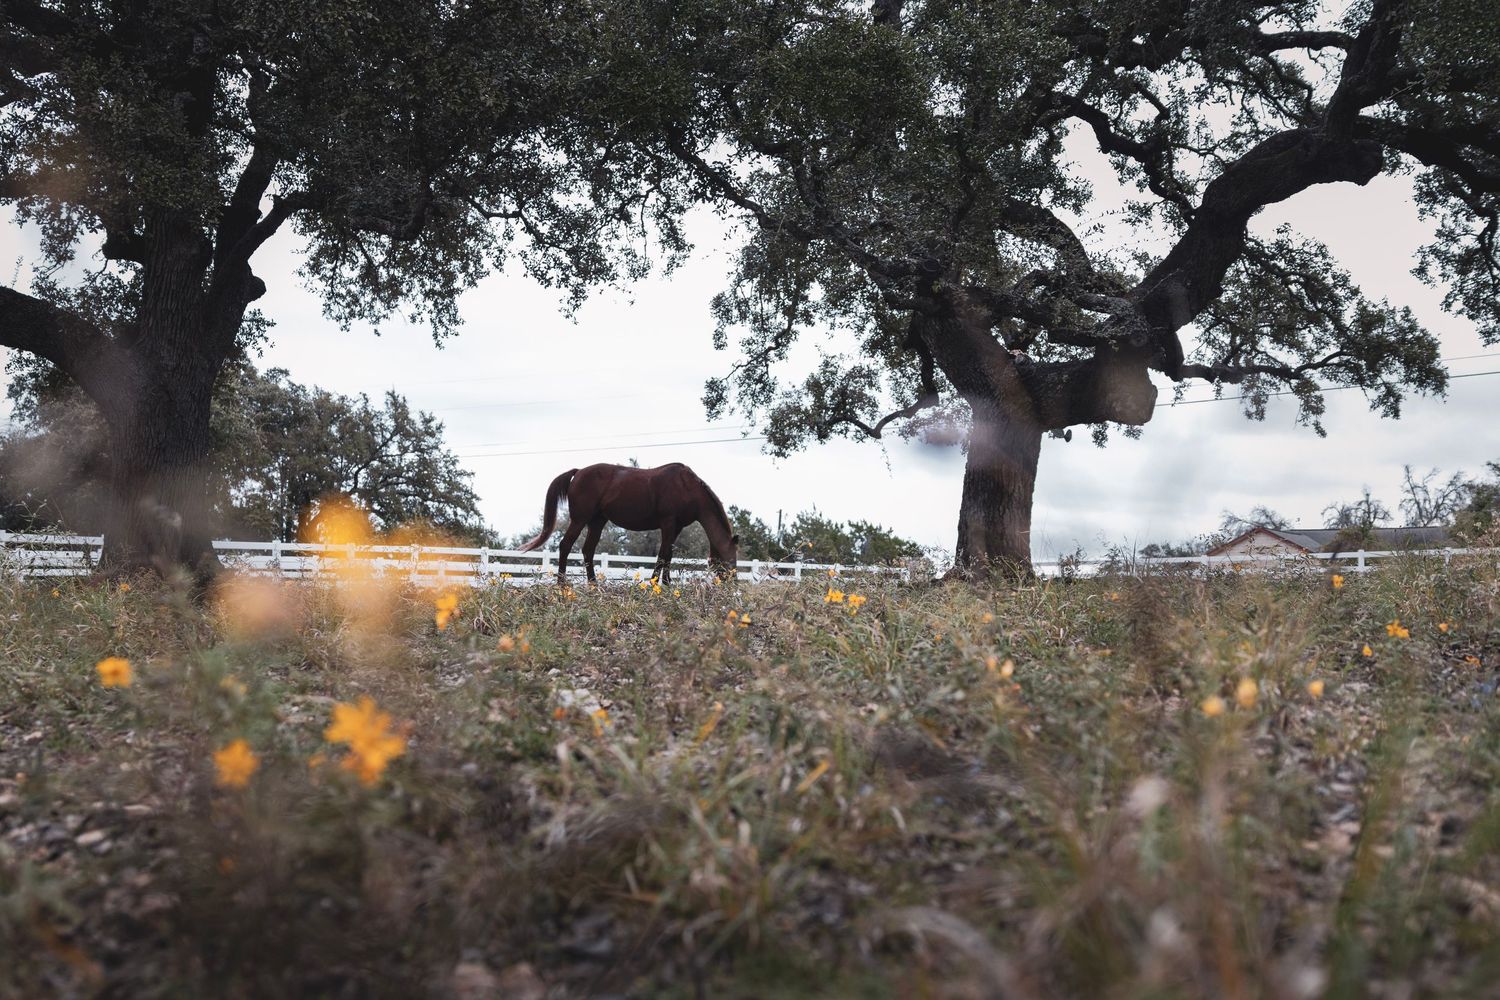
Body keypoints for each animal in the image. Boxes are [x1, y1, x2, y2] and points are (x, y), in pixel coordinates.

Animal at [518, 463, 740, 585]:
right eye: (730, 559)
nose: (733, 584)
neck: (687, 487)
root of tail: (578, 472)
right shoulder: (668, 524)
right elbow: (662, 555)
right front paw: (653, 584)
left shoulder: (676, 527)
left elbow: (668, 555)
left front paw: (667, 584)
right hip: (580, 519)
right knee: (565, 545)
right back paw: (562, 584)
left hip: (597, 521)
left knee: (588, 550)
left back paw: (594, 585)